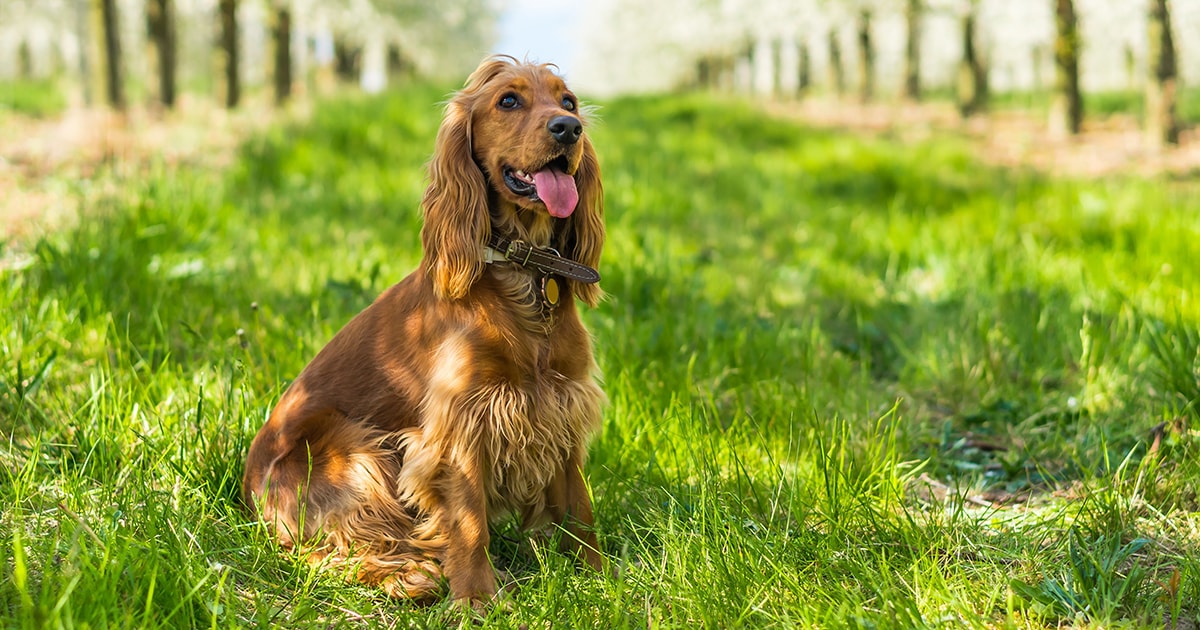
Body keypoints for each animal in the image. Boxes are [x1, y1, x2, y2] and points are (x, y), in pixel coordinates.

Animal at [240, 57, 604, 604]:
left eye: (569, 102)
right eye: (508, 100)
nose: (568, 129)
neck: (522, 274)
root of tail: (247, 491)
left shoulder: (561, 405)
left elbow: (579, 509)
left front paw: (605, 580)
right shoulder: (462, 422)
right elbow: (470, 522)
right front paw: (477, 600)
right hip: (353, 450)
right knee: (326, 553)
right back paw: (411, 576)